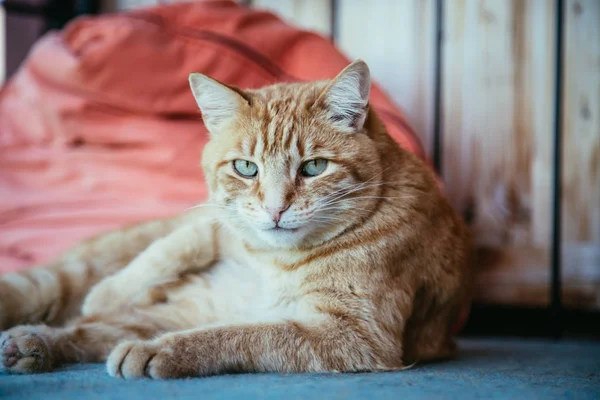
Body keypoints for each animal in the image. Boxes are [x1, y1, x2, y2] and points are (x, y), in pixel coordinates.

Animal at [0, 60, 472, 378]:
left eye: (314, 167)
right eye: (246, 168)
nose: (276, 208)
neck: (274, 261)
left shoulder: (354, 336)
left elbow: (243, 334)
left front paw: (161, 352)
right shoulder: (209, 239)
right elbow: (175, 249)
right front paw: (97, 300)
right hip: (61, 276)